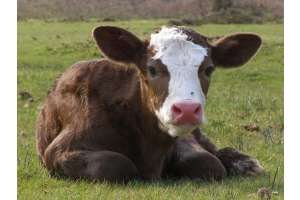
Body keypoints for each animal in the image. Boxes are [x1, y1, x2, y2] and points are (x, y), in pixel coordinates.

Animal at [36, 25, 264, 183]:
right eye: (152, 69)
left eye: (209, 69)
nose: (187, 110)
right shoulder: (59, 151)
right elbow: (116, 164)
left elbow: (207, 163)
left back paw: (244, 162)